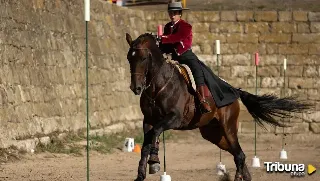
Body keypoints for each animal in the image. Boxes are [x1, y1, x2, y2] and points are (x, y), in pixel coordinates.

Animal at [125, 33, 312, 181]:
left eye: (143, 58)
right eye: (129, 58)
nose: (136, 88)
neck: (159, 86)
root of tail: (233, 90)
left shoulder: (173, 118)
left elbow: (155, 133)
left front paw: (153, 162)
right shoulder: (149, 120)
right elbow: (147, 142)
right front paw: (143, 172)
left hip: (228, 127)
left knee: (239, 154)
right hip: (213, 134)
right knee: (238, 154)